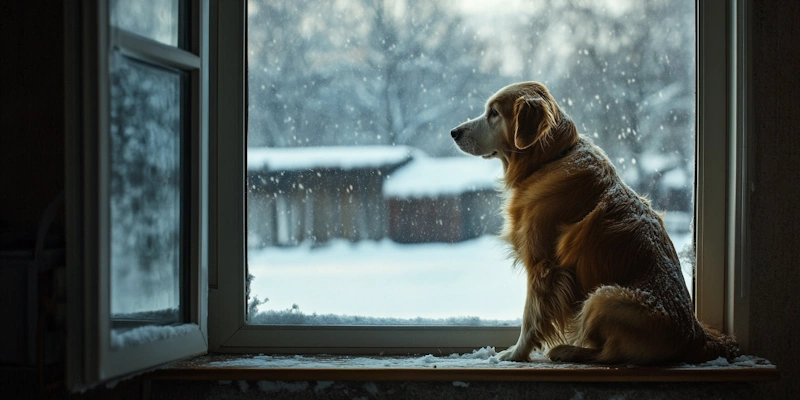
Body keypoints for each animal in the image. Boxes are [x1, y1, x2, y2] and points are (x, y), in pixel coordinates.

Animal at [450, 82, 736, 366]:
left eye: (494, 113)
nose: (454, 132)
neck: (550, 159)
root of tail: (695, 335)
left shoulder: (543, 266)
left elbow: (530, 318)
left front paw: (515, 354)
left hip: (602, 298)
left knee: (610, 353)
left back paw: (567, 351)